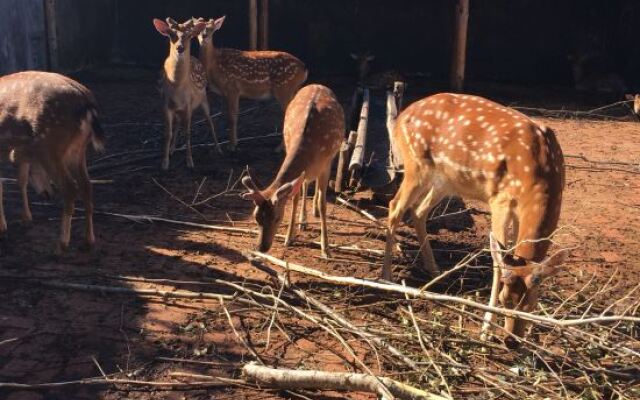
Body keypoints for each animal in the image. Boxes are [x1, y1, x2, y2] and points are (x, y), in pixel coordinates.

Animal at [0, 71, 105, 253]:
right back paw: (89, 241)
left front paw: (3, 228)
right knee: (87, 186)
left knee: (70, 188)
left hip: (49, 145)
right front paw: (26, 218)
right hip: (77, 150)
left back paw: (62, 243)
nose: (48, 194)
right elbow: (21, 179)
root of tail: (88, 104)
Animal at [153, 16, 221, 170]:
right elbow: (168, 133)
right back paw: (172, 149)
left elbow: (188, 132)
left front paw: (190, 162)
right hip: (178, 110)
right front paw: (164, 163)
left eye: (189, 35)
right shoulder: (165, 104)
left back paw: (218, 148)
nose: (180, 47)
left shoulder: (189, 104)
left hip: (204, 98)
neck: (177, 87)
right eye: (171, 34)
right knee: (178, 124)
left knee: (210, 121)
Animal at [192, 16, 308, 152]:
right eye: (197, 28)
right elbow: (227, 116)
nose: (204, 36)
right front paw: (233, 143)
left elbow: (232, 116)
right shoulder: (225, 93)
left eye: (211, 28)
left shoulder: (232, 87)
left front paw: (232, 145)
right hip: (293, 89)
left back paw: (280, 148)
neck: (214, 65)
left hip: (284, 88)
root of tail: (304, 69)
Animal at [241, 85, 344, 258]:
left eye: (277, 218)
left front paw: (326, 248)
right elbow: (295, 199)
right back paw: (304, 221)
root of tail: (317, 85)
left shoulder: (326, 164)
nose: (262, 247)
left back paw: (314, 211)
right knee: (305, 184)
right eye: (256, 217)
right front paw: (289, 237)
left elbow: (323, 204)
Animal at [382, 91, 572, 346]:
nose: (511, 341)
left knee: (418, 211)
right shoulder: (500, 199)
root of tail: (402, 116)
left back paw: (435, 272)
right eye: (504, 299)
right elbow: (497, 260)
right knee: (395, 207)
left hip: (445, 179)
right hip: (416, 164)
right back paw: (386, 277)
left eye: (531, 305)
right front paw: (485, 329)